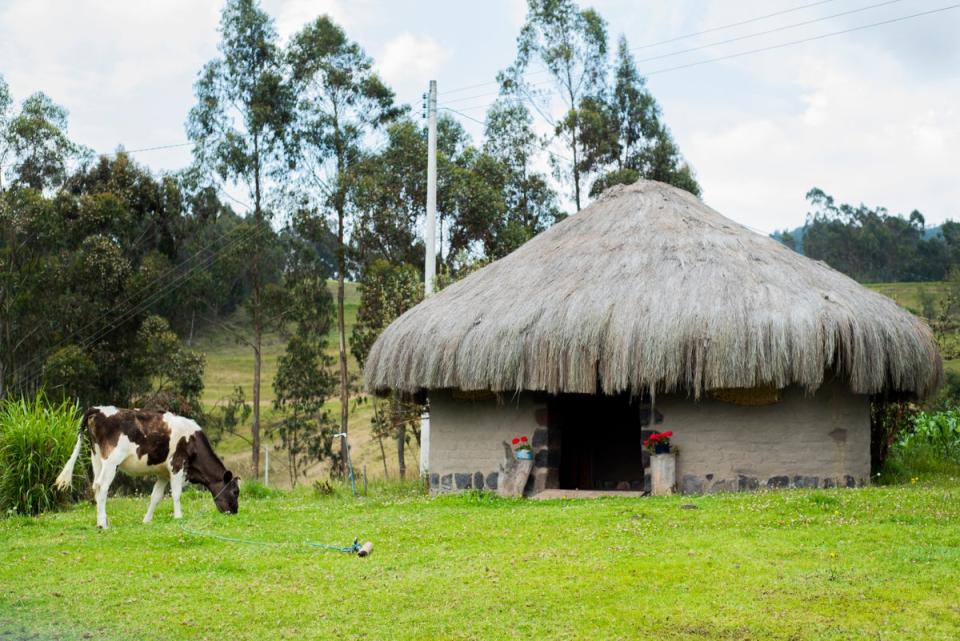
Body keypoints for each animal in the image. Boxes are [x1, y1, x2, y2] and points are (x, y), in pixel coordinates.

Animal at [54, 408, 240, 528]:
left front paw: (147, 520)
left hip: (97, 457)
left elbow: (155, 497)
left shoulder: (163, 473)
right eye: (235, 491)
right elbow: (177, 493)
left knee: (95, 485)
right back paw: (102, 523)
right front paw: (179, 517)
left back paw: (103, 520)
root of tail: (98, 410)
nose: (235, 511)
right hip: (112, 460)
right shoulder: (177, 464)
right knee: (102, 486)